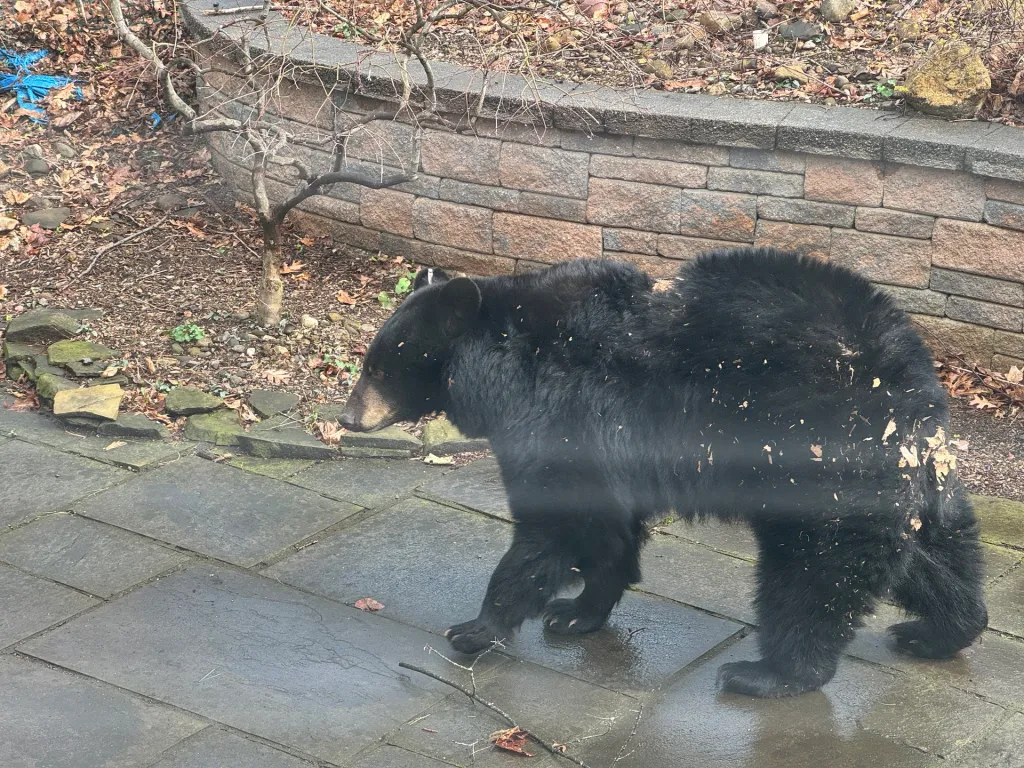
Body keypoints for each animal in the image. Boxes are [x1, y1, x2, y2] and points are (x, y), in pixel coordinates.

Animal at [339, 248, 988, 698]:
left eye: (378, 367)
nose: (347, 417)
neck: (502, 362)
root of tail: (908, 370)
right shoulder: (605, 443)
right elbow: (607, 528)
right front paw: (578, 611)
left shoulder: (559, 410)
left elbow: (552, 523)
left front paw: (475, 629)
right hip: (907, 471)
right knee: (929, 551)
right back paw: (942, 629)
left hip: (820, 455)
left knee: (816, 568)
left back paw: (769, 672)